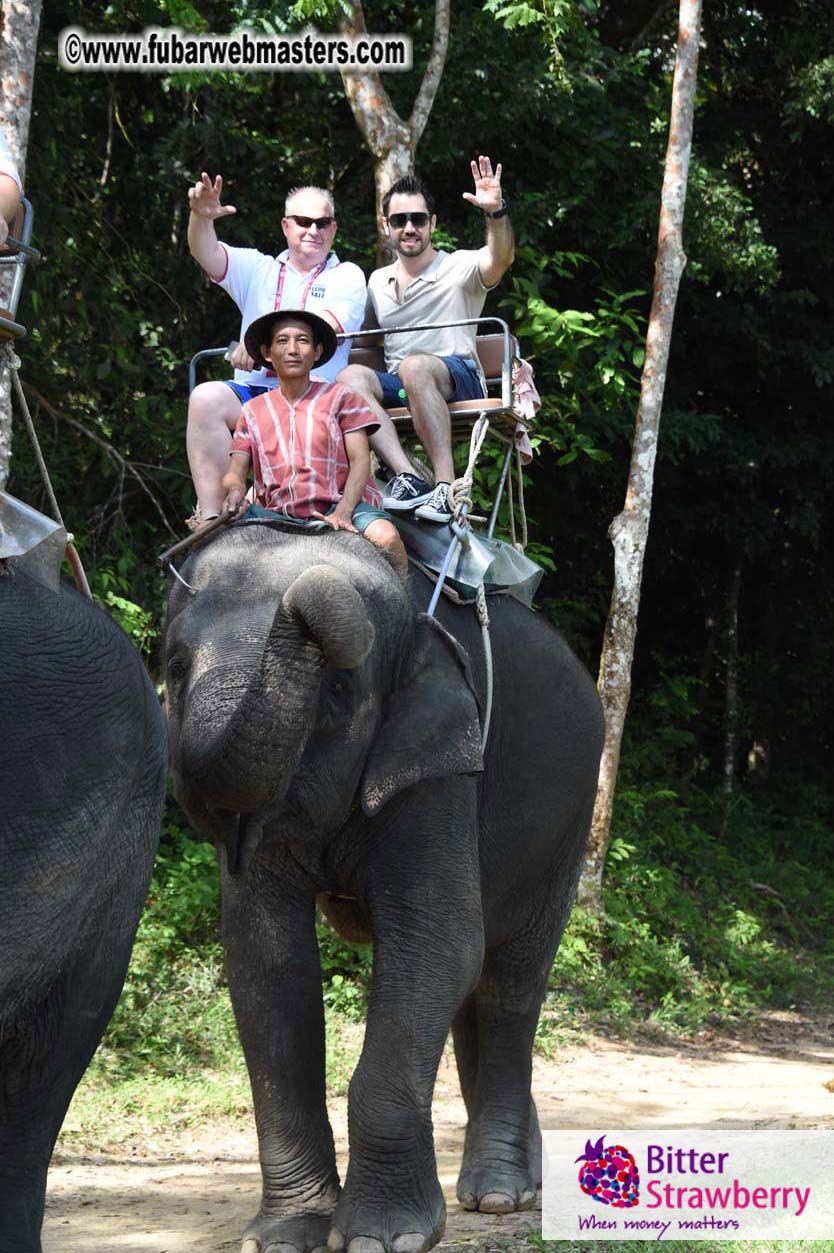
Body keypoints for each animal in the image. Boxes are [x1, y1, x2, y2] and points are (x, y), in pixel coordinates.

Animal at [164, 519, 604, 1253]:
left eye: (340, 692)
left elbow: (436, 944)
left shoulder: (439, 765)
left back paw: (499, 1195)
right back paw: (520, 1178)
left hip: (568, 819)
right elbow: (266, 960)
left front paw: (381, 1237)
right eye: (172, 668)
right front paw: (284, 1237)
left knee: (509, 980)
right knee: (475, 993)